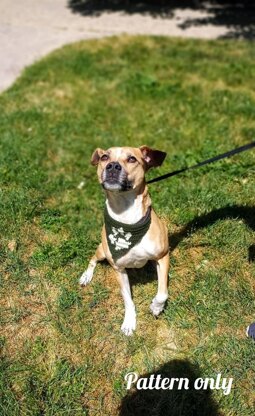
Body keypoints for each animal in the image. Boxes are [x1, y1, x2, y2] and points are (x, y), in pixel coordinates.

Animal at [79, 146, 169, 334]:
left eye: (132, 159)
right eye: (105, 157)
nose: (113, 166)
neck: (126, 215)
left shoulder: (163, 256)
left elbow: (163, 292)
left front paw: (156, 307)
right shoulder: (118, 269)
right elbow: (127, 299)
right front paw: (129, 322)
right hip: (102, 250)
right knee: (92, 259)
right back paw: (86, 276)